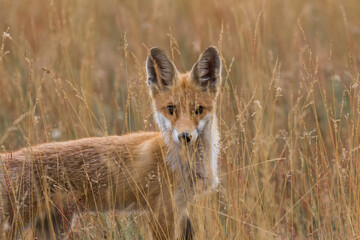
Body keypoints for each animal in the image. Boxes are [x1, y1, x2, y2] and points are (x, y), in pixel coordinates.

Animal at [0, 46, 221, 239]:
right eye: (171, 109)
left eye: (198, 109)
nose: (185, 136)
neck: (182, 163)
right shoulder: (160, 212)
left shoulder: (181, 209)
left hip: (55, 226)